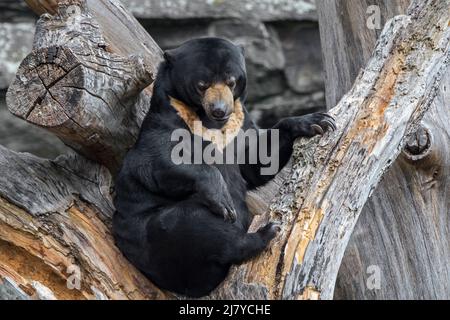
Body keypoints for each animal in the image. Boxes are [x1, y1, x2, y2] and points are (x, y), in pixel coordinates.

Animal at [114, 37, 336, 298]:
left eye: (232, 81)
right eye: (202, 85)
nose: (220, 110)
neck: (210, 123)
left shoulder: (239, 125)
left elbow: (256, 162)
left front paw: (316, 121)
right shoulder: (165, 120)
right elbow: (157, 162)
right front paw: (222, 197)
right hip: (154, 240)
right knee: (192, 225)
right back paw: (266, 233)